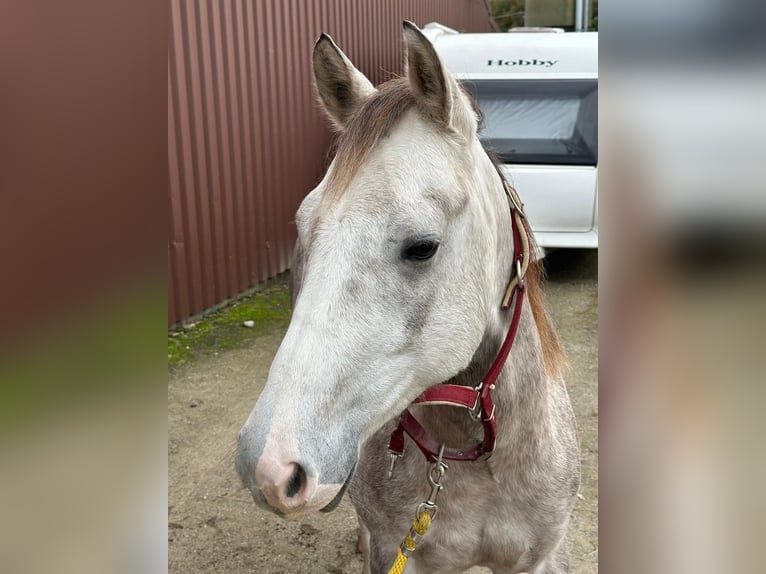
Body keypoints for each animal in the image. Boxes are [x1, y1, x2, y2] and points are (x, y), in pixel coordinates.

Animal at [236, 20, 584, 572]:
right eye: (304, 227)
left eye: (422, 247)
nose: (268, 466)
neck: (477, 457)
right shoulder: (400, 553)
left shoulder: (544, 556)